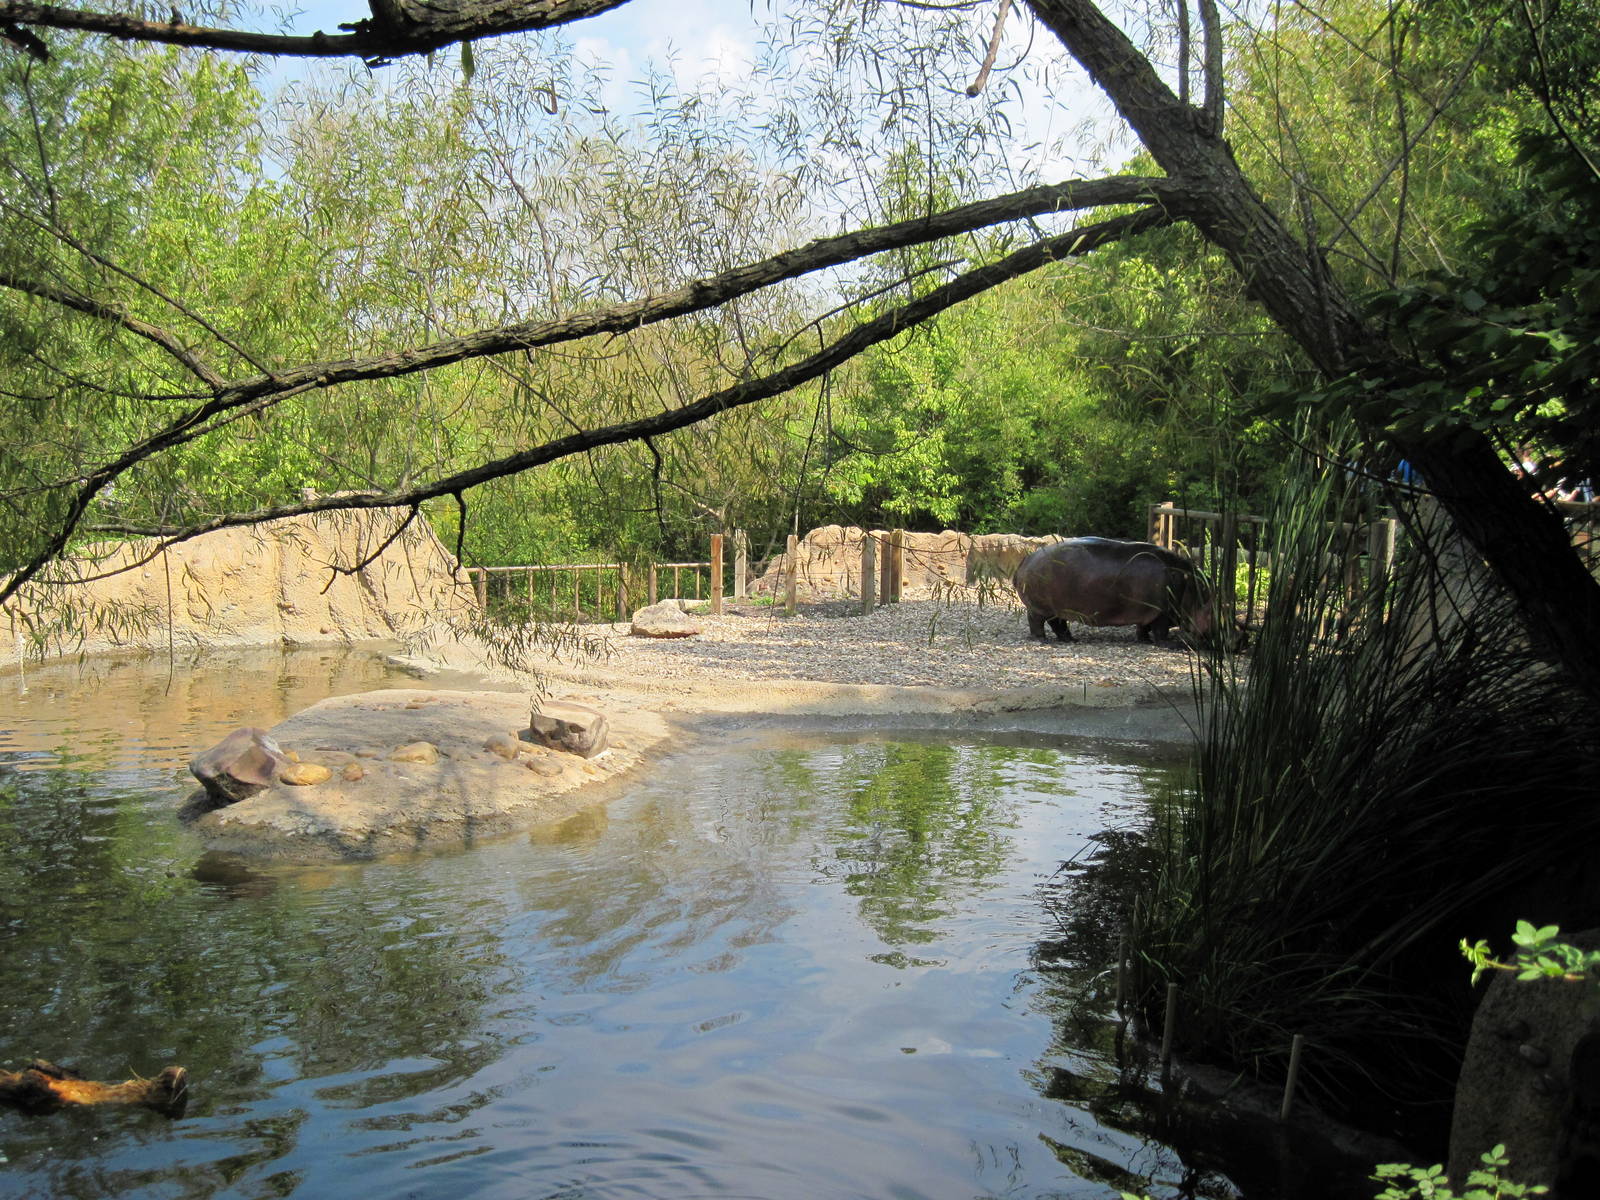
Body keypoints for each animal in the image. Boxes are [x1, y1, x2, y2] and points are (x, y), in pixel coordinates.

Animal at [1011, 536, 1215, 644]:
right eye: (1208, 602)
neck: (1189, 585)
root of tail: (1027, 558)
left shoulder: (1147, 610)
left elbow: (1143, 627)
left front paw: (1145, 640)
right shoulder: (1162, 611)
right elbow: (1160, 631)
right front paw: (1167, 644)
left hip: (1057, 607)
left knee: (1058, 623)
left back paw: (1070, 639)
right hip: (1040, 607)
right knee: (1037, 622)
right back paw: (1042, 639)